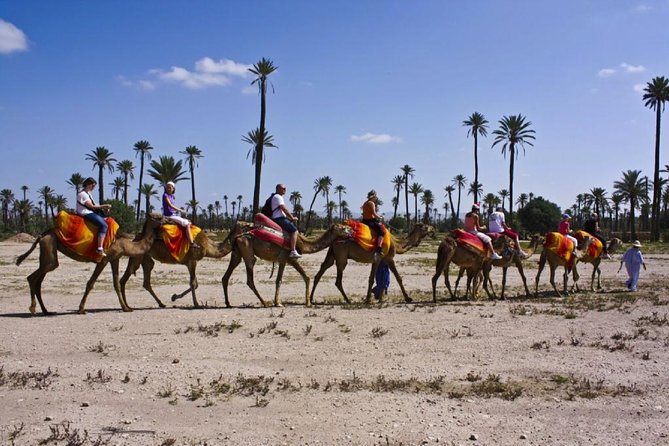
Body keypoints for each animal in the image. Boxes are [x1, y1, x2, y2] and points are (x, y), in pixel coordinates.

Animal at [15, 212, 164, 314]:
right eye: (158, 217)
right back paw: (33, 308)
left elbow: (116, 283)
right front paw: (81, 309)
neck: (124, 244)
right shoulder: (103, 260)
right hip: (49, 248)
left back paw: (46, 311)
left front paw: (126, 308)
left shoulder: (114, 259)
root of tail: (42, 235)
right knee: (32, 278)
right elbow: (91, 283)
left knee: (39, 280)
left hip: (48, 253)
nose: (167, 219)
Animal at [117, 220, 253, 310]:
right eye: (245, 225)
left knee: (146, 278)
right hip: (137, 256)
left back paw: (161, 304)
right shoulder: (193, 260)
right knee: (125, 277)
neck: (208, 246)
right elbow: (193, 283)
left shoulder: (188, 263)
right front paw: (196, 304)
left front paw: (174, 297)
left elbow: (195, 284)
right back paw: (127, 306)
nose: (252, 224)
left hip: (145, 257)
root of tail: (135, 237)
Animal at [222, 222, 352, 306]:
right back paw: (264, 303)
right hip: (247, 249)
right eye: (343, 228)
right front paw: (308, 302)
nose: (351, 230)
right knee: (250, 277)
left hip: (237, 253)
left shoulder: (283, 260)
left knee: (226, 276)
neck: (303, 243)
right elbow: (305, 277)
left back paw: (228, 303)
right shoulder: (290, 259)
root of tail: (238, 236)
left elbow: (280, 280)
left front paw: (277, 302)